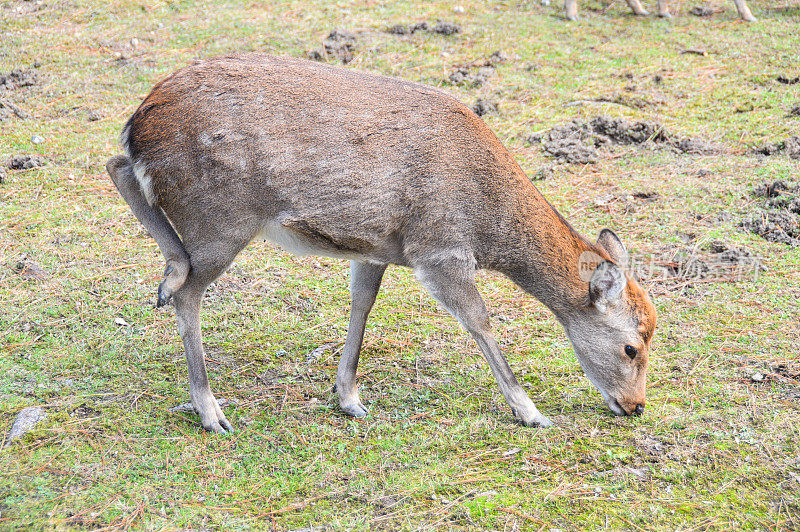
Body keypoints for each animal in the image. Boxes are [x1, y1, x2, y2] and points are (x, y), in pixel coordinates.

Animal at [106, 54, 656, 434]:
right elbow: (479, 320)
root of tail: (140, 121)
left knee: (116, 165)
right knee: (188, 292)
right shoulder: (439, 250)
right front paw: (530, 411)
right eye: (632, 347)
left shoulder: (376, 249)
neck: (487, 223)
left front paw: (347, 397)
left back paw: (168, 273)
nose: (635, 406)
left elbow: (362, 305)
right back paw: (209, 407)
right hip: (222, 219)